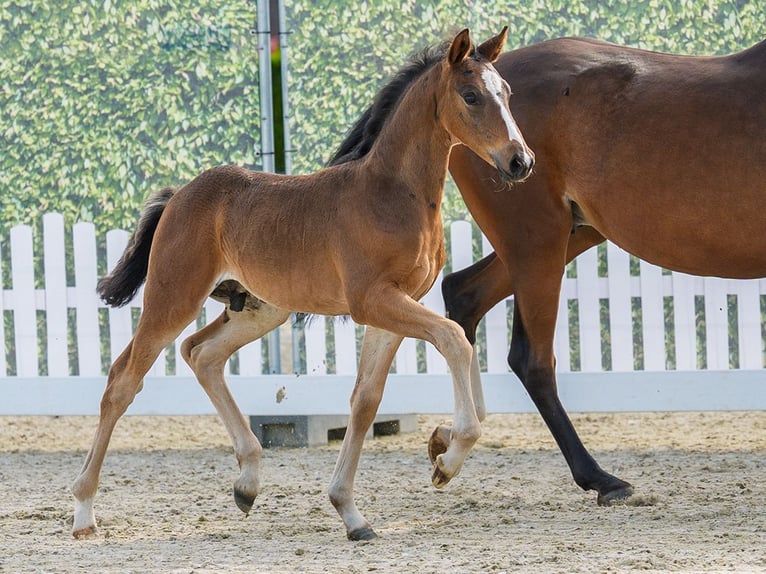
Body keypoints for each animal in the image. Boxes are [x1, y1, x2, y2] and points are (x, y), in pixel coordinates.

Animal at [71, 27, 534, 541]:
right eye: (470, 96)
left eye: (507, 93)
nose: (520, 161)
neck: (393, 194)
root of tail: (178, 196)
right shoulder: (372, 301)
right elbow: (454, 339)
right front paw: (447, 461)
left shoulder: (394, 309)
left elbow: (366, 400)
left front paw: (352, 514)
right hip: (172, 299)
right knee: (123, 380)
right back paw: (84, 511)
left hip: (259, 308)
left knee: (201, 353)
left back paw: (247, 482)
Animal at [440, 37, 766, 505]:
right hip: (535, 242)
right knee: (532, 359)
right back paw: (601, 478)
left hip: (563, 237)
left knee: (463, 294)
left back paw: (450, 441)